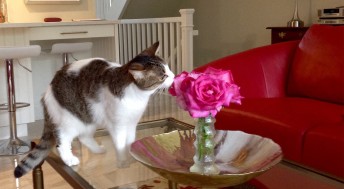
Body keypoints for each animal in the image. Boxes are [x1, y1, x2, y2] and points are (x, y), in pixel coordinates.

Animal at [14, 42, 175, 178]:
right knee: (62, 140)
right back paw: (69, 159)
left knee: (83, 137)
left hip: (89, 117)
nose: (174, 76)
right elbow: (120, 144)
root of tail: (48, 90)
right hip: (70, 120)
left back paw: (98, 150)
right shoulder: (118, 125)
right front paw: (123, 161)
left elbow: (130, 142)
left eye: (168, 68)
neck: (137, 96)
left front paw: (133, 156)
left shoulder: (131, 123)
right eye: (163, 76)